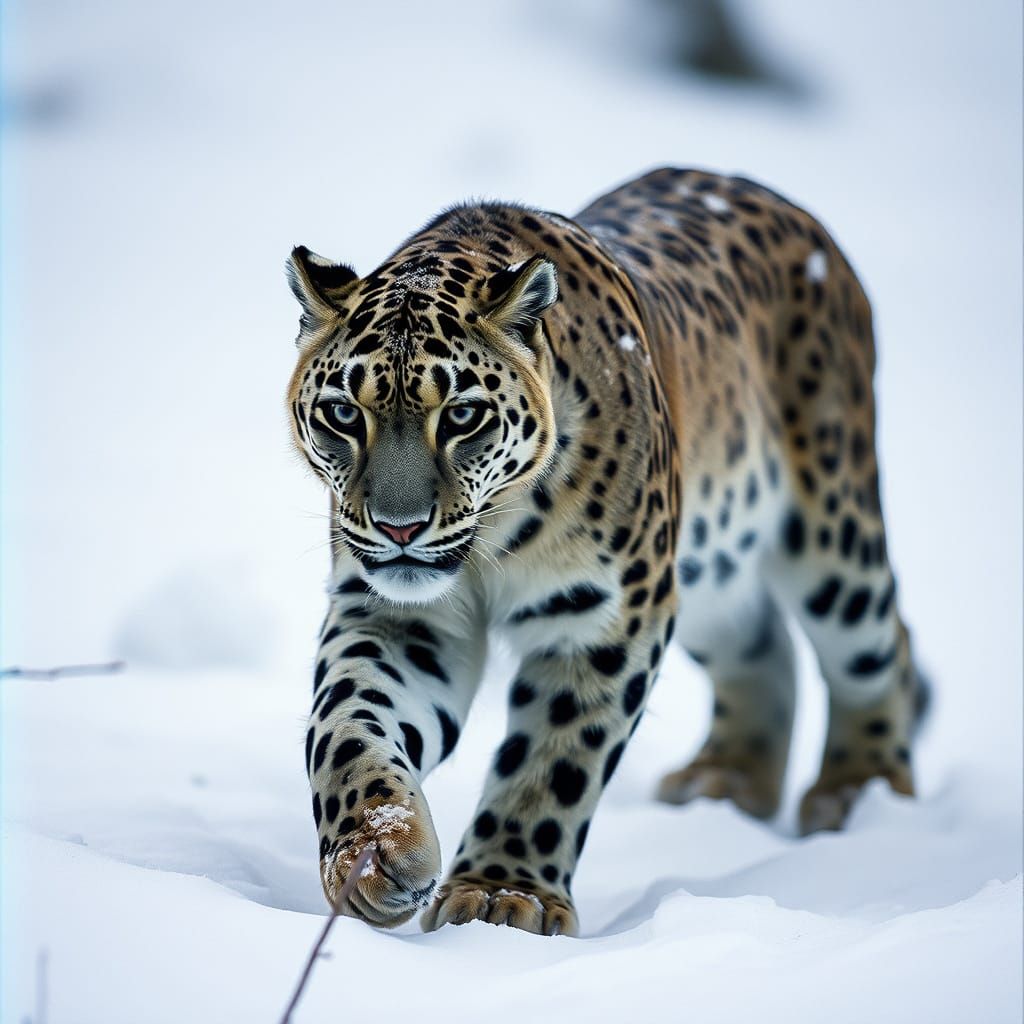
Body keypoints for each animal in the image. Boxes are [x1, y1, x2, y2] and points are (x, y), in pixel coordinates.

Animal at [285, 167, 929, 937]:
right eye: (343, 414)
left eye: (463, 416)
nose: (398, 528)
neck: (494, 543)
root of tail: (776, 200)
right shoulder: (397, 617)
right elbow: (349, 723)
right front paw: (375, 849)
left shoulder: (606, 618)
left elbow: (554, 759)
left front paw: (504, 897)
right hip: (711, 567)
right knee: (763, 645)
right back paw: (725, 782)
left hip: (831, 532)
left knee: (879, 643)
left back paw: (860, 794)